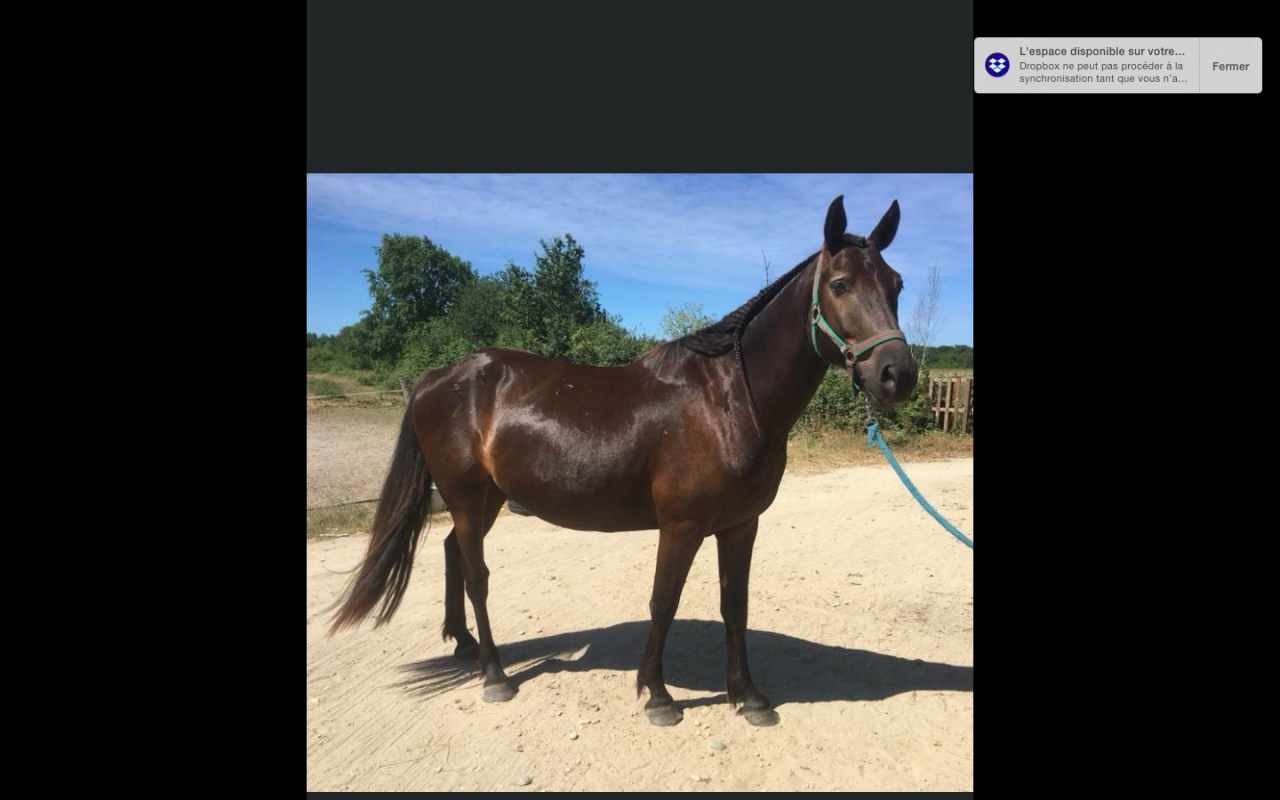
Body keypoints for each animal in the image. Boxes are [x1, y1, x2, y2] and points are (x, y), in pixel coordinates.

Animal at [329, 195, 919, 727]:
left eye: (896, 284)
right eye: (839, 284)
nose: (897, 374)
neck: (727, 400)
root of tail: (436, 378)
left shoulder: (741, 525)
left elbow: (736, 606)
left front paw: (748, 697)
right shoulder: (681, 527)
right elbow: (663, 603)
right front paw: (658, 696)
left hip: (487, 498)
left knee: (454, 553)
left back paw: (465, 647)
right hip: (467, 496)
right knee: (476, 575)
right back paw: (494, 675)